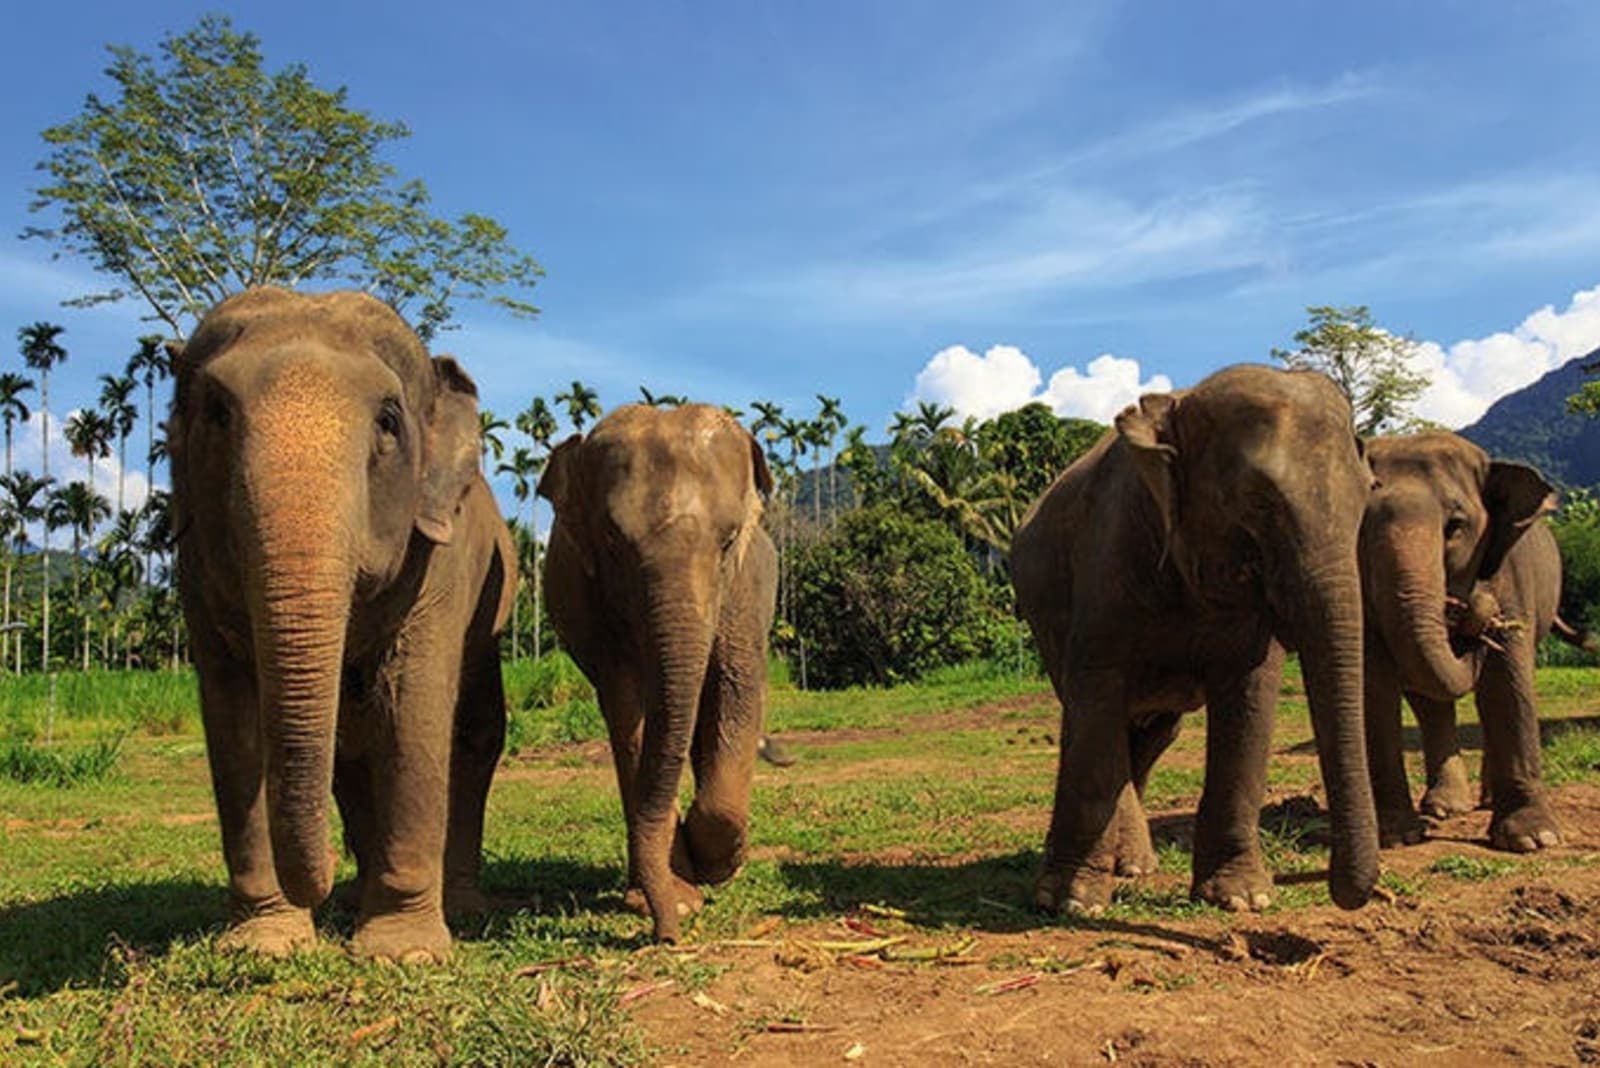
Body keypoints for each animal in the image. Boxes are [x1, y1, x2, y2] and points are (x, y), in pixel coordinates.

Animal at [171, 287, 515, 962]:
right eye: (216, 413)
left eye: (388, 421)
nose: (325, 876)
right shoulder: (193, 566)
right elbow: (231, 715)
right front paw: (265, 943)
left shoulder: (439, 559)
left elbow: (412, 710)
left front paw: (403, 952)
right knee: (350, 748)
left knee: (472, 733)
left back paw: (457, 903)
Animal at [538, 403, 777, 942]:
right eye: (612, 540)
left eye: (729, 540)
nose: (667, 935)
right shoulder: (596, 607)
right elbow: (628, 709)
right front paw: (684, 896)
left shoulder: (743, 592)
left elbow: (736, 689)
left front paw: (719, 865)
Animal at [1010, 364, 1379, 915]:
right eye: (1258, 501)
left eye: (1367, 495)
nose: (1340, 888)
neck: (1179, 405)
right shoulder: (1108, 550)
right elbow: (1096, 691)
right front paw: (1071, 904)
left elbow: (1249, 699)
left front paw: (1242, 898)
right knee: (1098, 718)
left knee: (1155, 733)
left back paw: (1134, 865)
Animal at [1361, 431, 1584, 852]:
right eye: (1359, 529)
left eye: (1455, 525)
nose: (1477, 610)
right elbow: (1375, 682)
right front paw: (1395, 836)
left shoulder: (1510, 575)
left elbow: (1508, 681)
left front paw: (1533, 838)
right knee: (1431, 703)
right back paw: (1444, 808)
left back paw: (1487, 801)